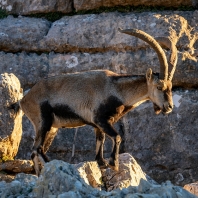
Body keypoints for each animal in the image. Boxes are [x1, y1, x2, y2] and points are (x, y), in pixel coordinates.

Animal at [13, 27, 178, 175]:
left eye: (170, 87)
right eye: (159, 86)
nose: (169, 107)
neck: (116, 89)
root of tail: (24, 100)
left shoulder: (98, 125)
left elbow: (101, 140)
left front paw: (102, 162)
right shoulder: (100, 119)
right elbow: (117, 137)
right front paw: (113, 163)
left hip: (52, 128)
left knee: (35, 151)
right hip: (43, 122)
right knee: (37, 149)